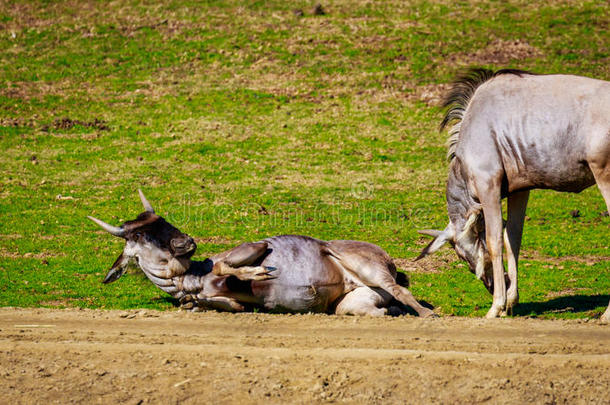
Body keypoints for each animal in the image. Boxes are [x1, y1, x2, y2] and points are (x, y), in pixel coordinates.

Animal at [89, 191, 432, 318]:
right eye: (138, 234)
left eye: (162, 220)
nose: (186, 242)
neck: (192, 277)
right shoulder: (226, 302)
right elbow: (207, 304)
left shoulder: (254, 247)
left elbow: (228, 265)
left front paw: (259, 273)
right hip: (353, 303)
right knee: (380, 308)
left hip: (363, 264)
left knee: (400, 289)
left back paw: (428, 314)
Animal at [416, 68, 604, 320]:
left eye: (462, 256)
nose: (492, 286)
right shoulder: (521, 190)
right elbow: (512, 236)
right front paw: (511, 302)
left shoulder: (489, 187)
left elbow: (495, 240)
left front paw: (497, 306)